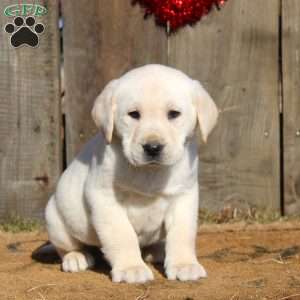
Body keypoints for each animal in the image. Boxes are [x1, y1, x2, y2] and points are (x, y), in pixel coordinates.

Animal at [45, 63, 218, 284]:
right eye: (134, 114)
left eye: (173, 114)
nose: (153, 147)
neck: (150, 173)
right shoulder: (104, 198)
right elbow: (122, 235)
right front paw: (131, 268)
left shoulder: (184, 196)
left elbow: (182, 234)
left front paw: (183, 264)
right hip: (55, 219)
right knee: (66, 246)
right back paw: (76, 257)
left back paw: (156, 250)